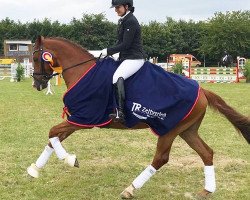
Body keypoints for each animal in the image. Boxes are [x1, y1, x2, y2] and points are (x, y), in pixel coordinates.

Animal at [26, 36, 249, 198]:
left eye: (36, 59)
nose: (37, 84)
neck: (82, 71)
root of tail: (201, 90)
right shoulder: (77, 119)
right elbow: (53, 138)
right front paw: (35, 169)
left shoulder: (84, 119)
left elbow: (53, 133)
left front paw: (69, 159)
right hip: (187, 130)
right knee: (207, 153)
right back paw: (207, 190)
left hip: (168, 131)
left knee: (161, 158)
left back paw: (130, 189)